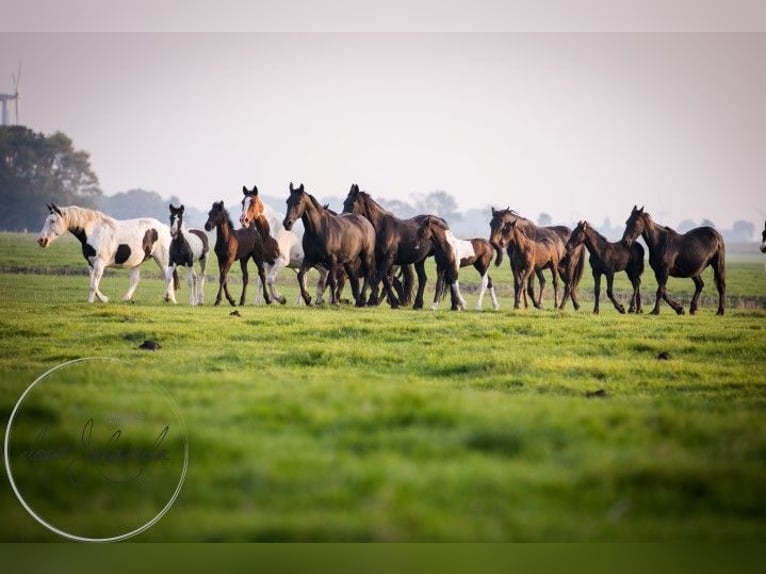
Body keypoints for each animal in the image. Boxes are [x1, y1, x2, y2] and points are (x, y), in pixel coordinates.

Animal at [37, 203, 175, 303]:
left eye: (53, 221)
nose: (41, 240)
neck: (93, 231)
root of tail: (164, 228)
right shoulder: (91, 264)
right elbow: (93, 283)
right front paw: (104, 299)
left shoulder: (100, 263)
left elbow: (93, 285)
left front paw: (90, 302)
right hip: (137, 262)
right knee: (135, 280)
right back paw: (127, 298)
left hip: (162, 259)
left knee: (169, 277)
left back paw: (169, 298)